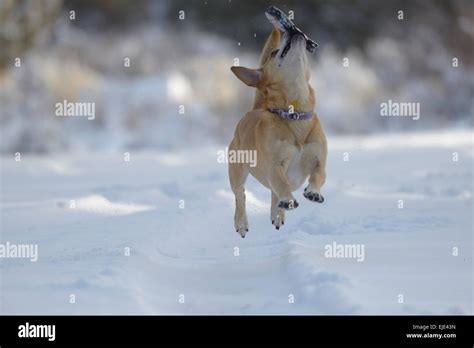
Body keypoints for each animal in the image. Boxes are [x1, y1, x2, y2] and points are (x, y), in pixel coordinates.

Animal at [229, 6, 326, 238]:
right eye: (274, 53)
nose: (293, 31)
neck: (294, 113)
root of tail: (255, 108)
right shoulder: (275, 166)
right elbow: (281, 183)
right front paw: (288, 199)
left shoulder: (319, 159)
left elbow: (318, 174)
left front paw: (313, 192)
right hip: (237, 169)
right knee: (240, 195)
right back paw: (242, 222)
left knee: (274, 194)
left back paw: (278, 212)